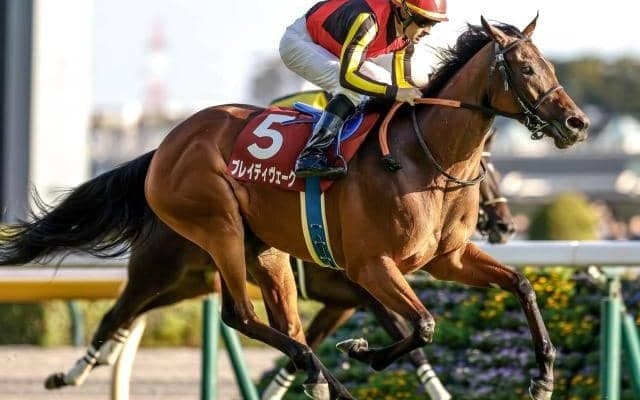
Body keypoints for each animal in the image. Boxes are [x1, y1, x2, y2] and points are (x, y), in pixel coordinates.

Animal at [0, 16, 588, 400]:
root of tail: (163, 146)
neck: (422, 158)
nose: (577, 122)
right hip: (209, 233)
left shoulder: (446, 260)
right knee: (223, 315)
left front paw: (543, 375)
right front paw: (364, 352)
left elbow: (520, 284)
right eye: (526, 69)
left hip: (255, 257)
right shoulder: (369, 269)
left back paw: (319, 378)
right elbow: (421, 329)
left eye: (548, 65)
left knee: (273, 327)